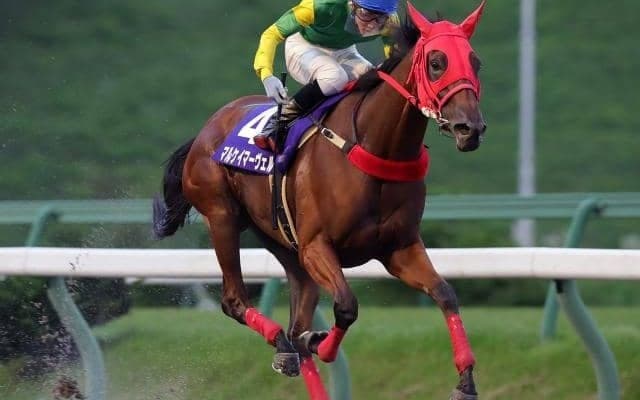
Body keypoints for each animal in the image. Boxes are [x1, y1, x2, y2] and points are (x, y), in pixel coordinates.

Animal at [152, 2, 487, 399]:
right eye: (437, 62)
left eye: (476, 62)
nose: (470, 129)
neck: (375, 146)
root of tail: (207, 129)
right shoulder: (317, 246)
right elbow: (346, 307)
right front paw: (319, 341)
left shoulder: (399, 248)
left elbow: (445, 293)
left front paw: (466, 380)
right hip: (222, 216)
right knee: (237, 301)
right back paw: (282, 341)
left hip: (281, 241)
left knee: (296, 319)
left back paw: (289, 348)